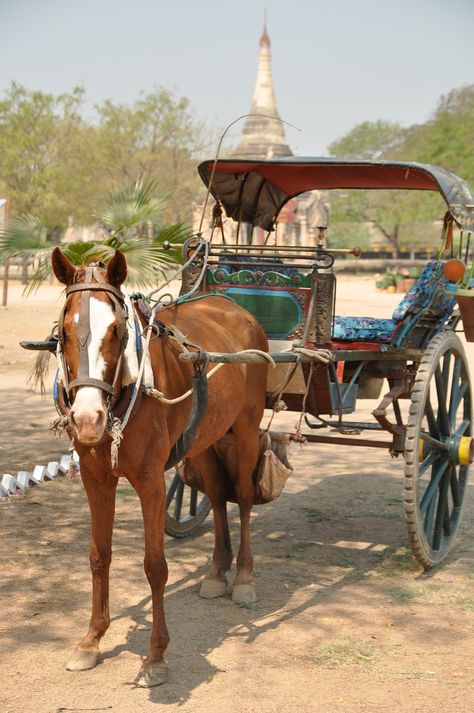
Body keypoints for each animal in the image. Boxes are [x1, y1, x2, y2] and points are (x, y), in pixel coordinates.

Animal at [51, 249, 270, 684]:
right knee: (217, 496)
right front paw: (91, 640)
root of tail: (236, 309)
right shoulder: (96, 479)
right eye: (64, 333)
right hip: (203, 438)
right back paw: (216, 572)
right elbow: (99, 555)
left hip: (246, 429)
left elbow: (155, 565)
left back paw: (243, 577)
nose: (87, 419)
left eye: (117, 331)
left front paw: (155, 655)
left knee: (243, 498)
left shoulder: (151, 482)